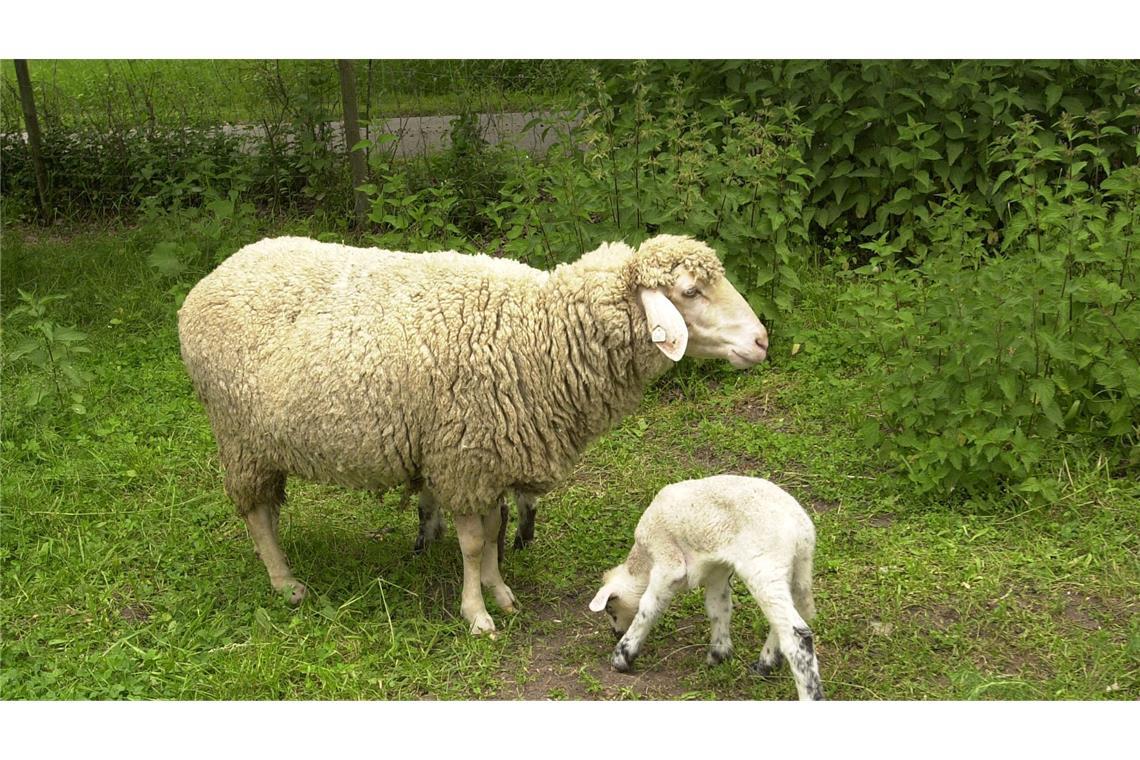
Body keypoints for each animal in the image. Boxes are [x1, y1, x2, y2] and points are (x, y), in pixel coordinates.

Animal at [177, 234, 769, 635]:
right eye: (690, 292)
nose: (762, 340)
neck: (541, 332)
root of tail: (215, 275)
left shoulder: (490, 457)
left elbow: (491, 530)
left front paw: (498, 590)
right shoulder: (462, 458)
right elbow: (472, 541)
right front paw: (477, 614)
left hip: (262, 442)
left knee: (266, 511)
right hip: (238, 437)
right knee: (256, 513)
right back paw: (285, 583)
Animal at [588, 475, 824, 700]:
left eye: (610, 609)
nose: (616, 633)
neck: (643, 562)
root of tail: (803, 532)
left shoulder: (667, 560)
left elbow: (648, 606)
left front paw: (622, 656)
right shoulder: (717, 571)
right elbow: (718, 607)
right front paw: (719, 654)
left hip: (765, 566)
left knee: (796, 635)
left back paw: (809, 693)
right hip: (796, 572)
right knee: (789, 617)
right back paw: (764, 665)